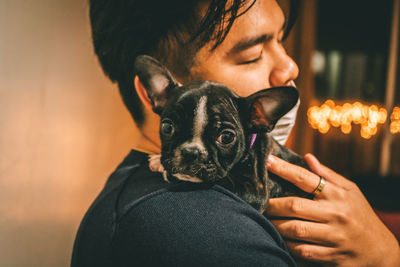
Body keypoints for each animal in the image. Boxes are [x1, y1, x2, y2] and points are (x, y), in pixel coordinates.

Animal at [136, 55, 310, 213]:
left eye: (226, 137)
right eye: (167, 127)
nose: (190, 152)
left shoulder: (254, 191)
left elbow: (220, 180)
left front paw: (161, 165)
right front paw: (159, 161)